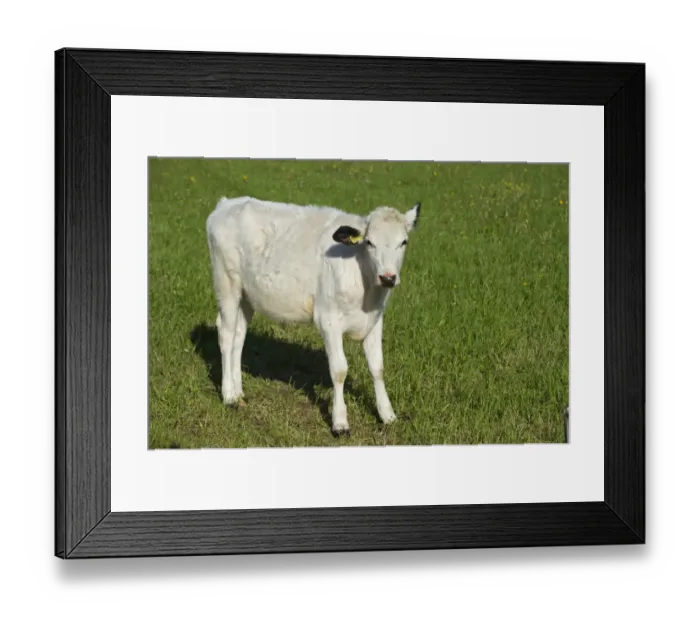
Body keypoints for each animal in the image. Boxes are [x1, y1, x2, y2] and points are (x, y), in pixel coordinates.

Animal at [206, 196, 420, 436]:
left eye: (403, 242)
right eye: (369, 243)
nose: (388, 277)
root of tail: (228, 203)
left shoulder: (374, 320)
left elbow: (377, 367)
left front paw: (387, 414)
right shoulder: (328, 320)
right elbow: (339, 370)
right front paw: (340, 422)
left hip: (247, 295)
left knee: (238, 336)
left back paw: (238, 392)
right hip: (227, 283)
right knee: (226, 333)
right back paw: (229, 396)